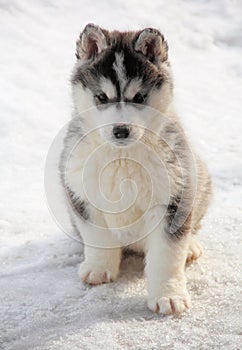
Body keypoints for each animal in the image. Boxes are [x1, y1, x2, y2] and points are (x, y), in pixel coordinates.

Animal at [59, 23, 212, 314]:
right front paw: (98, 269)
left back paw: (190, 247)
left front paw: (169, 295)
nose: (121, 130)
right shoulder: (81, 193)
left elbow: (167, 255)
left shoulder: (173, 198)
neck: (122, 157)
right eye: (101, 97)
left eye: (139, 97)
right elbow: (97, 235)